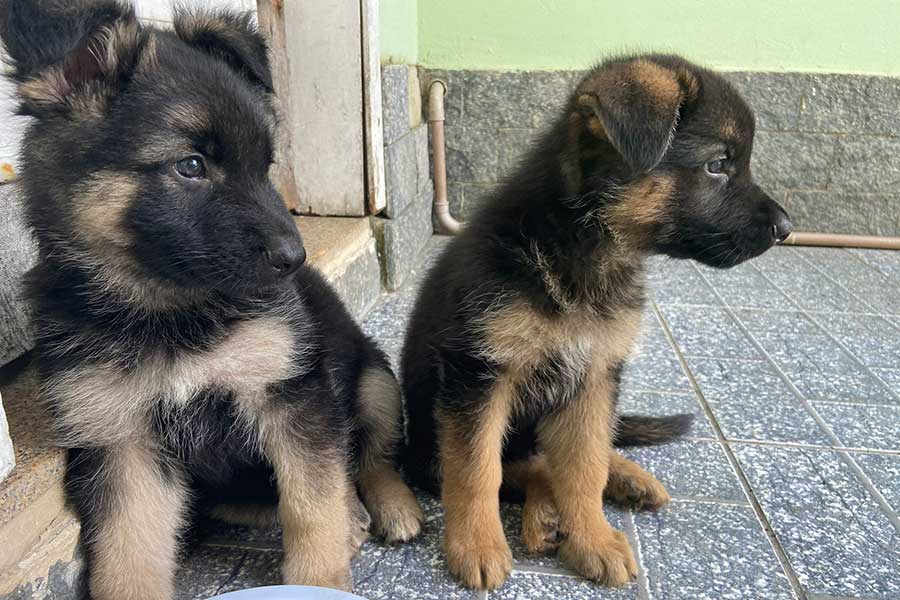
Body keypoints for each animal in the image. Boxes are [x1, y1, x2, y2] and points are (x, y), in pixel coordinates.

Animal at [1, 0, 424, 596]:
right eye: (191, 166)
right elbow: (128, 554)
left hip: (374, 382)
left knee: (371, 458)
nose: (295, 259)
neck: (165, 308)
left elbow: (312, 505)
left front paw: (320, 574)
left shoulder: (290, 394)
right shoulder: (121, 443)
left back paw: (388, 507)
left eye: (265, 166)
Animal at [404, 54, 792, 588]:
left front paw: (593, 537)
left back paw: (624, 478)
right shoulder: (479, 375)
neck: (583, 243)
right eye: (717, 164)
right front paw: (477, 546)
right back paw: (545, 515)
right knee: (523, 465)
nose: (786, 228)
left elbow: (584, 466)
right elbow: (477, 469)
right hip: (429, 445)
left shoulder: (596, 374)